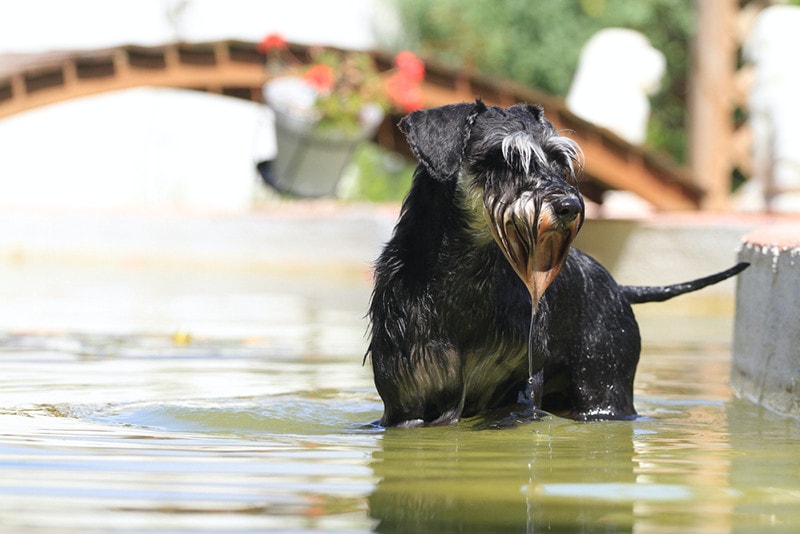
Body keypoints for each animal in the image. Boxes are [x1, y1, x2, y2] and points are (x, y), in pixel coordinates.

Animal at [366, 100, 748, 428]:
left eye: (558, 160)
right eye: (505, 158)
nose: (570, 206)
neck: (468, 273)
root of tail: (619, 286)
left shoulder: (517, 389)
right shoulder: (408, 401)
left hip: (603, 387)